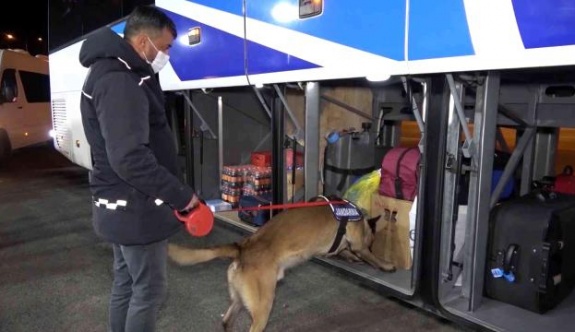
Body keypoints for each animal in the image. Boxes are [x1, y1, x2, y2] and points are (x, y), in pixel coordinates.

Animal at [168, 204, 396, 330]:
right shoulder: (359, 243)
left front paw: (350, 258)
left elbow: (344, 251)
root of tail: (243, 247)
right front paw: (385, 264)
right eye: (372, 241)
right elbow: (369, 256)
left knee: (226, 322)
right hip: (263, 306)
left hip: (240, 300)